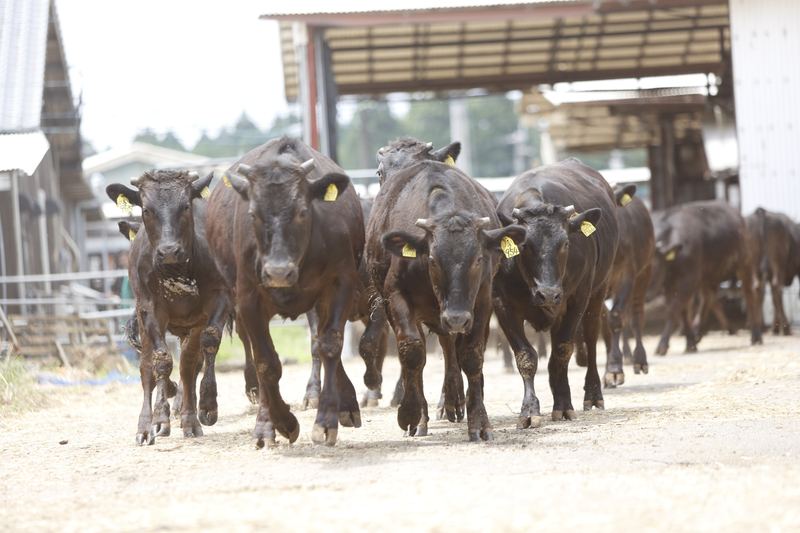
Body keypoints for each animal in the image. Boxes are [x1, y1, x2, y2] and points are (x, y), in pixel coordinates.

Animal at [106, 170, 230, 446]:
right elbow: (160, 361)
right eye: (146, 210)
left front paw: (207, 404)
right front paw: (159, 418)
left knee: (188, 365)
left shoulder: (216, 302)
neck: (177, 270)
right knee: (147, 369)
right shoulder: (149, 310)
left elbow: (207, 344)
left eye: (185, 206)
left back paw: (190, 419)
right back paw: (145, 426)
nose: (169, 250)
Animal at [206, 136, 364, 447]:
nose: (278, 272)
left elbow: (329, 345)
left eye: (302, 211)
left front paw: (326, 420)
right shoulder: (248, 300)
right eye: (253, 213)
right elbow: (266, 362)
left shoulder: (340, 284)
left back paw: (347, 404)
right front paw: (278, 423)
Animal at [365, 152, 525, 441]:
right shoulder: (395, 295)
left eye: (478, 259)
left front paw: (479, 422)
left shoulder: (481, 301)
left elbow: (471, 356)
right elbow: (412, 351)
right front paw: (410, 413)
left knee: (452, 349)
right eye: (432, 259)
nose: (457, 318)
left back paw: (453, 402)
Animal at [493, 158, 619, 428]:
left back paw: (592, 394)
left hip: (596, 293)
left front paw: (563, 405)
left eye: (566, 244)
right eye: (524, 245)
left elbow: (562, 350)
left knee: (591, 339)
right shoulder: (502, 304)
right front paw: (529, 410)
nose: (548, 294)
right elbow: (526, 357)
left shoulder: (576, 299)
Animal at [653, 200, 762, 355]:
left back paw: (756, 336)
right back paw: (698, 332)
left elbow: (673, 310)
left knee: (749, 293)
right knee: (709, 298)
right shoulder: (669, 285)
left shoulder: (688, 281)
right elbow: (682, 311)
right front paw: (690, 343)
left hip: (744, 265)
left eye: (652, 268)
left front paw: (662, 345)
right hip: (709, 275)